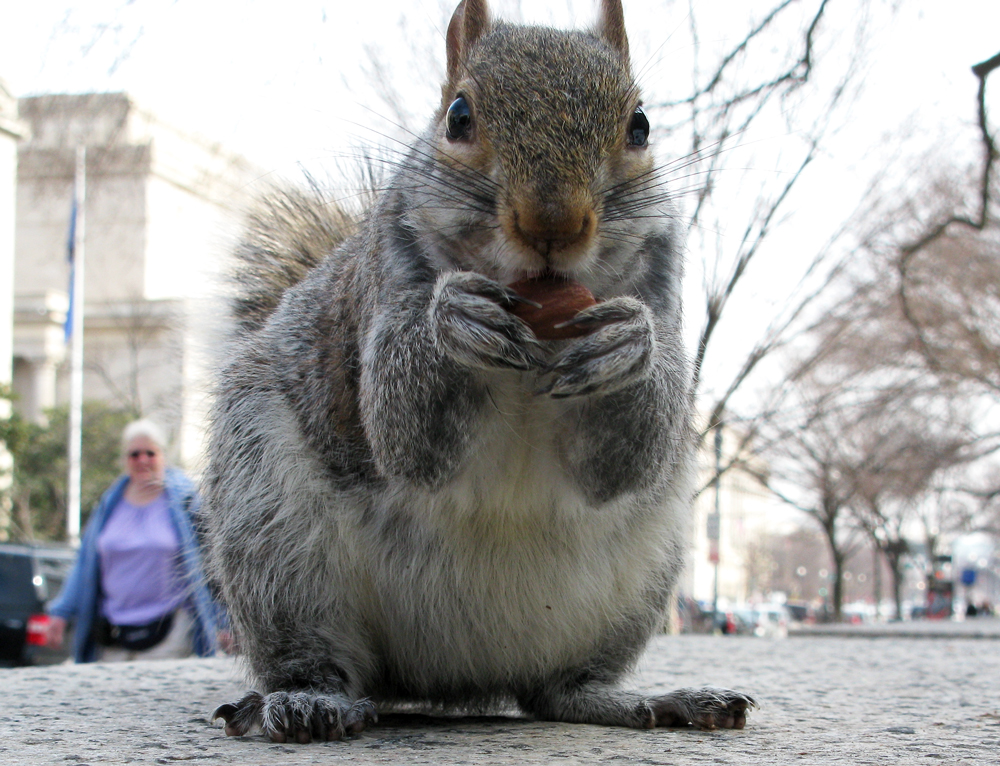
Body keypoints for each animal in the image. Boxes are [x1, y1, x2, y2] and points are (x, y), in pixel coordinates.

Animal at [205, 0, 755, 743]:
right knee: (315, 657)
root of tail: (452, 680)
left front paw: (627, 344)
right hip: (271, 537)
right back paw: (305, 701)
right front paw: (453, 320)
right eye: (458, 116)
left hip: (641, 576)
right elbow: (404, 434)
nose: (554, 224)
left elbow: (622, 462)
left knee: (555, 693)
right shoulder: (386, 282)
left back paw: (651, 700)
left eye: (640, 125)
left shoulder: (663, 286)